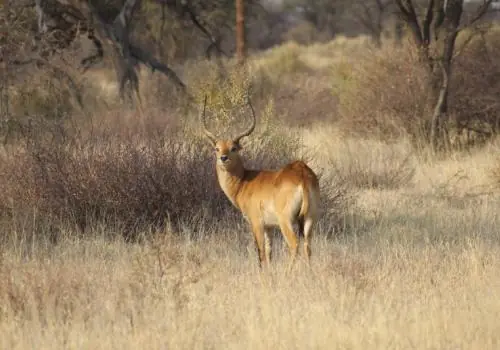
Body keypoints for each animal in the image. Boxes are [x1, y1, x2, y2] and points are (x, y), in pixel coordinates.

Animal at [202, 97, 322, 270]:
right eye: (217, 148)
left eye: (233, 148)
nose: (223, 158)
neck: (244, 181)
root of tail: (302, 173)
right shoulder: (269, 227)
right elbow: (269, 250)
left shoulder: (257, 223)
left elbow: (260, 253)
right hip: (309, 219)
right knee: (308, 246)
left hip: (285, 221)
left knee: (294, 245)